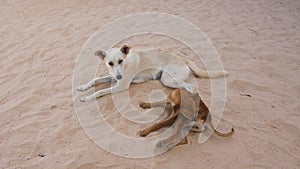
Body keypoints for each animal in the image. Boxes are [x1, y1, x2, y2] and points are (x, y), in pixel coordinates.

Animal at [77, 45, 227, 101]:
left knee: (190, 86)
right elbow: (96, 79)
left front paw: (87, 97)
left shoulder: (121, 85)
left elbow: (100, 91)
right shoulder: (113, 78)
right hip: (167, 80)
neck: (125, 64)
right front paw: (83, 87)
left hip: (168, 79)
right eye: (110, 63)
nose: (119, 76)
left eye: (120, 61)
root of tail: (183, 59)